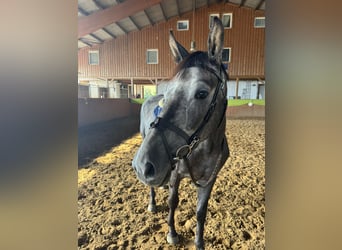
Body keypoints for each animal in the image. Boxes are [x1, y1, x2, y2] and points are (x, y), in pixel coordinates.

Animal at [132, 16, 231, 249]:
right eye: (167, 91)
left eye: (202, 93)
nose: (142, 166)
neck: (202, 150)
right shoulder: (175, 173)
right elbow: (172, 202)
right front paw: (172, 234)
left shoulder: (209, 180)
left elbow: (201, 212)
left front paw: (199, 242)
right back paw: (152, 203)